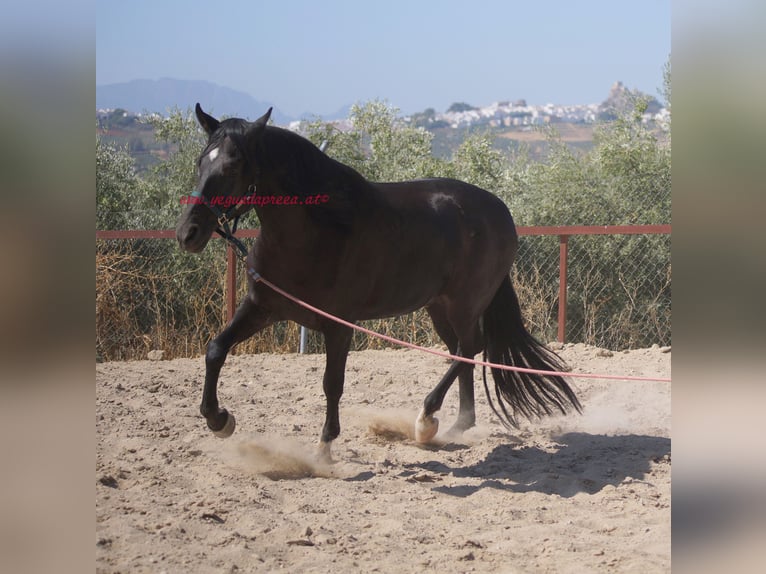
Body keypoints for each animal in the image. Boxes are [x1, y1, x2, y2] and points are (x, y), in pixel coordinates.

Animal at [176, 104, 584, 464]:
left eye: (233, 164)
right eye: (200, 161)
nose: (188, 233)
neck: (315, 230)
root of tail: (500, 211)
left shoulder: (339, 326)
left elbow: (332, 383)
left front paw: (324, 450)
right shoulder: (262, 306)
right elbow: (215, 349)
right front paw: (219, 420)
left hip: (465, 304)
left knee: (470, 347)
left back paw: (426, 419)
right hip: (439, 307)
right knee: (461, 351)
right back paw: (455, 426)